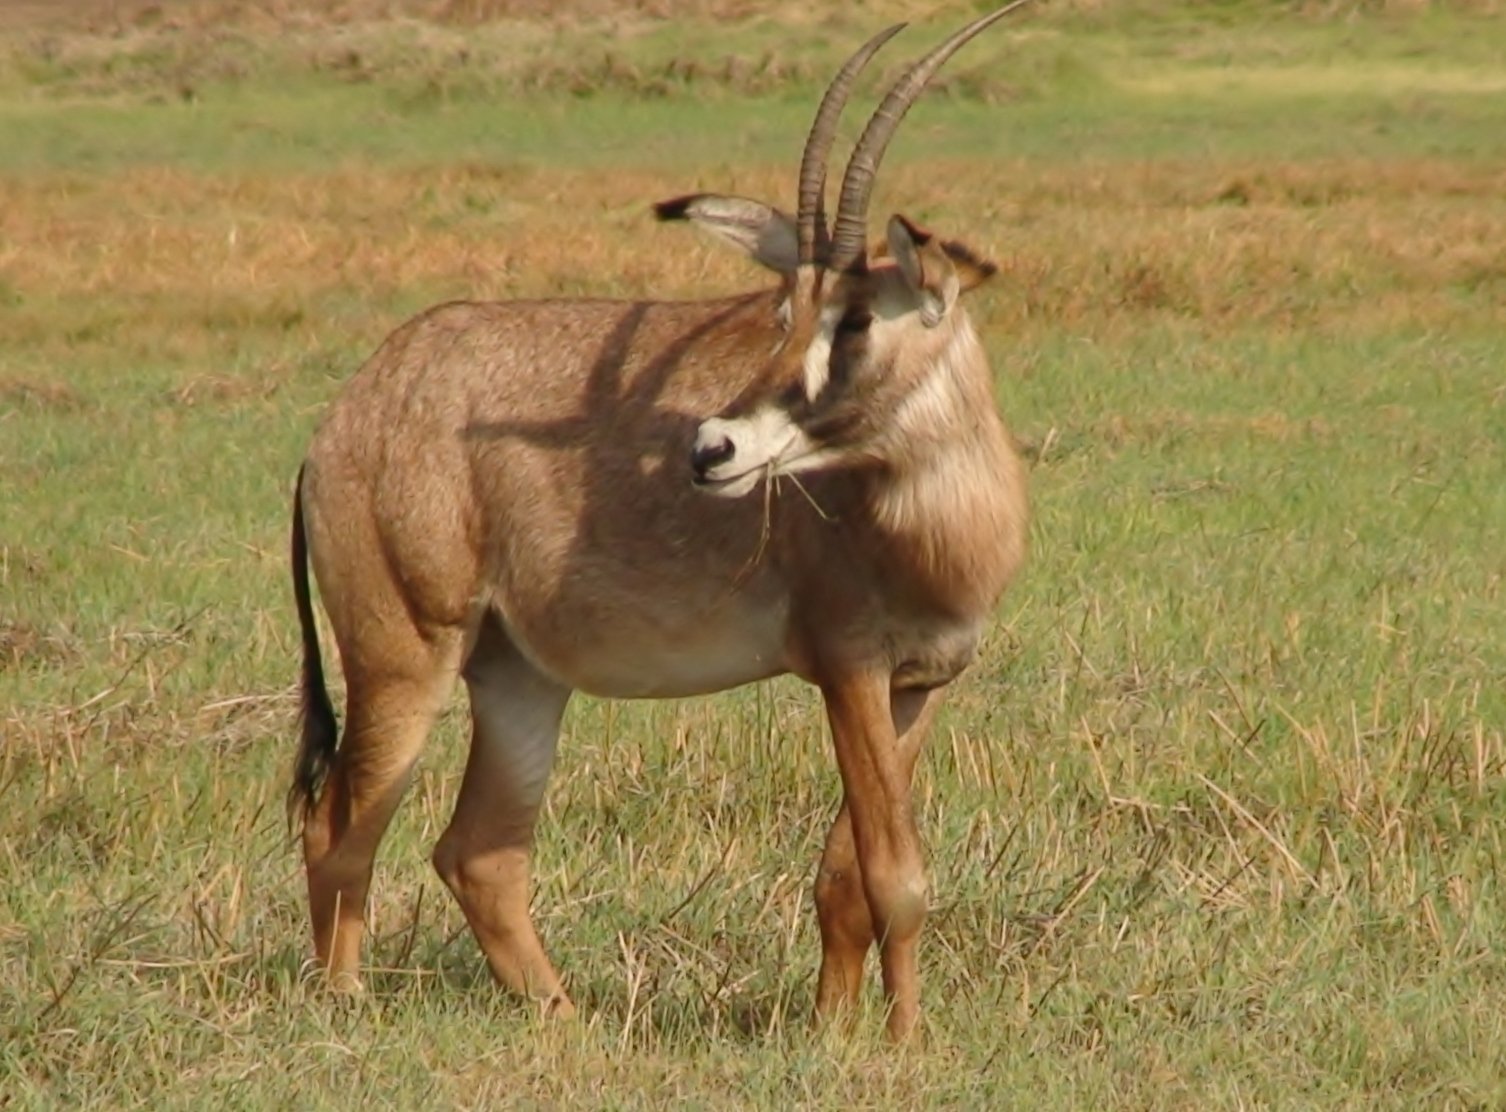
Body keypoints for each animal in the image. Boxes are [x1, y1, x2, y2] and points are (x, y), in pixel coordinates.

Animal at [287, 3, 1030, 1042]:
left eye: (855, 322)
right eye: (784, 312)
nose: (714, 447)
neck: (934, 511)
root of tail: (345, 419)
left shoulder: (919, 685)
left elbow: (844, 878)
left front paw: (831, 1030)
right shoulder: (848, 669)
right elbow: (896, 877)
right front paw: (901, 1044)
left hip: (517, 678)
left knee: (479, 852)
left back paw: (567, 1021)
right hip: (405, 659)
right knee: (342, 830)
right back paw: (347, 1006)